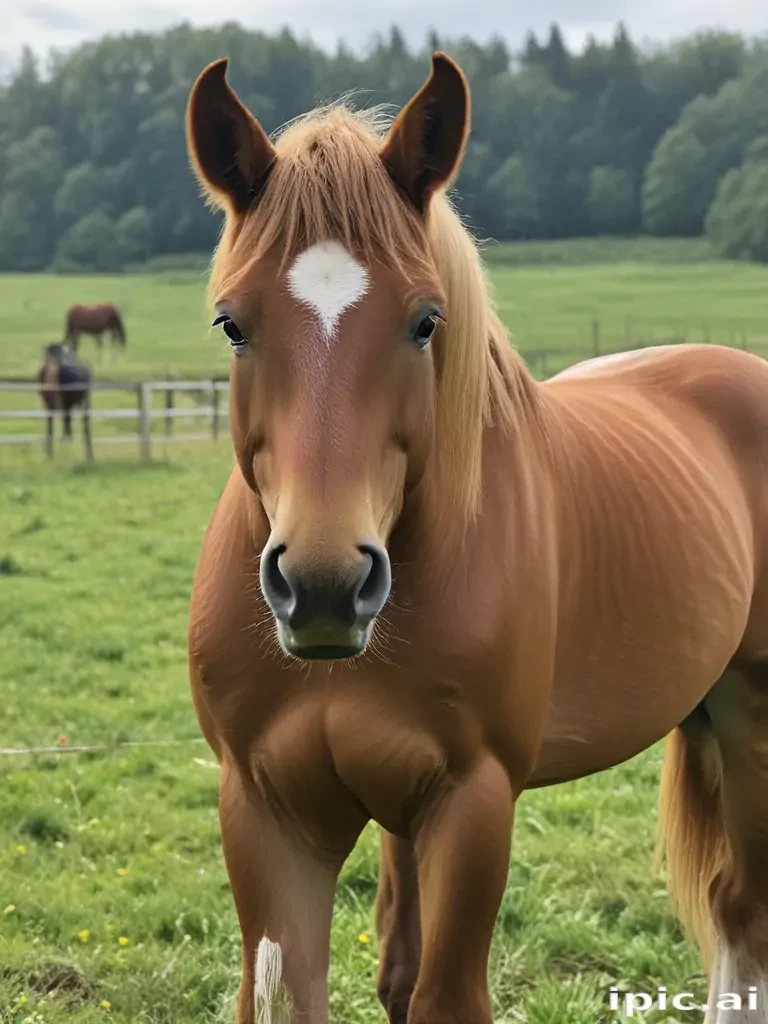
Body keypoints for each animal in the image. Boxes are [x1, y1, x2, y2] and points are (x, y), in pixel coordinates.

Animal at [186, 54, 768, 1024]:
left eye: (426, 320)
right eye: (233, 323)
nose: (324, 587)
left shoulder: (473, 805)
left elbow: (441, 994)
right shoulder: (269, 817)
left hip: (756, 718)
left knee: (747, 916)